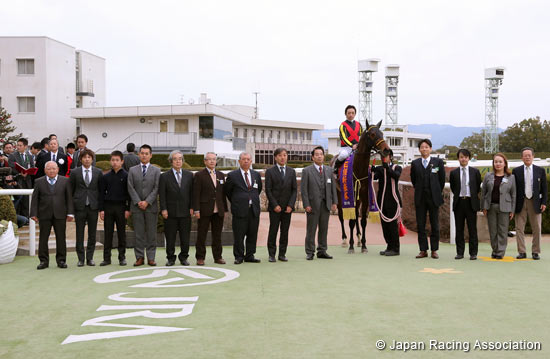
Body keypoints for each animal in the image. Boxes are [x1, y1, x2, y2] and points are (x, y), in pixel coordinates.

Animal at [336, 120, 392, 253]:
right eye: (372, 134)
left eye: (382, 133)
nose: (387, 150)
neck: (359, 168)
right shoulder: (351, 195)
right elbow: (351, 221)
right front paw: (351, 246)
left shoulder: (365, 196)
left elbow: (363, 221)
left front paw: (364, 245)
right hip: (339, 195)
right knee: (341, 216)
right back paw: (345, 239)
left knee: (356, 215)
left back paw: (358, 238)